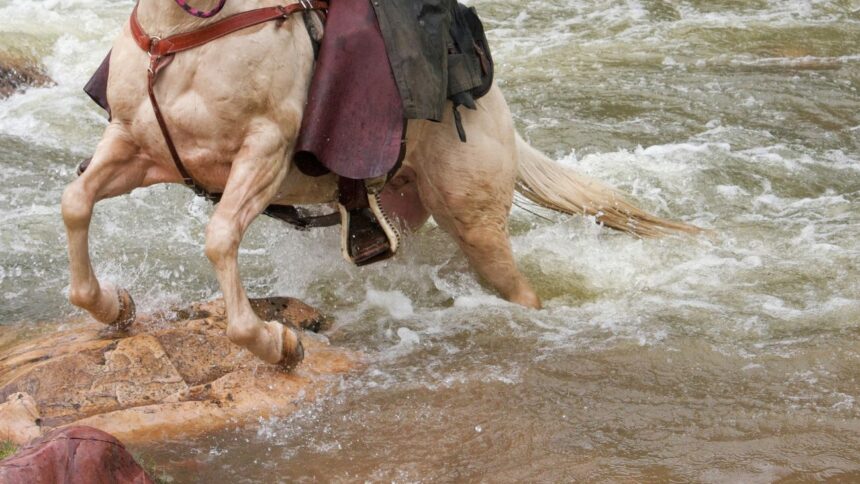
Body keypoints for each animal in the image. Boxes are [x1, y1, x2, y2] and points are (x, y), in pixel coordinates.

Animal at [61, 0, 700, 369]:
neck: (189, 32)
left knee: (522, 293)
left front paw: (276, 343)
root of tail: (497, 114)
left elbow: (220, 240)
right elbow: (75, 204)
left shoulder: (262, 154)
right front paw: (113, 304)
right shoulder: (135, 146)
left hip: (477, 223)